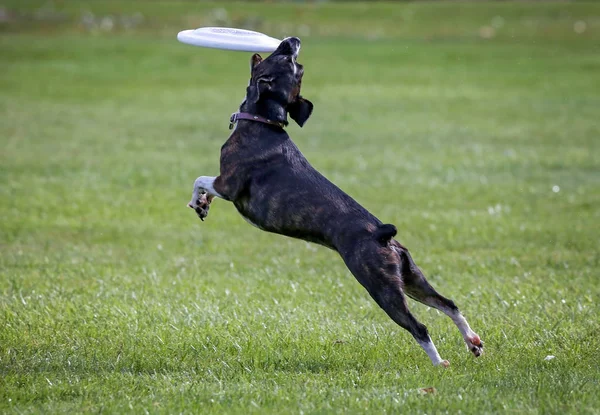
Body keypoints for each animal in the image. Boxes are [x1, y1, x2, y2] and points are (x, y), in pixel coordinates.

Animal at [188, 36, 482, 368]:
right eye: (292, 63)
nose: (292, 41)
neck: (263, 120)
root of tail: (383, 235)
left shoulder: (228, 184)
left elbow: (200, 180)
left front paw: (197, 202)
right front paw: (203, 205)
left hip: (381, 288)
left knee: (419, 326)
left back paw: (439, 364)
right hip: (411, 279)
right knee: (448, 304)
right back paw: (472, 342)